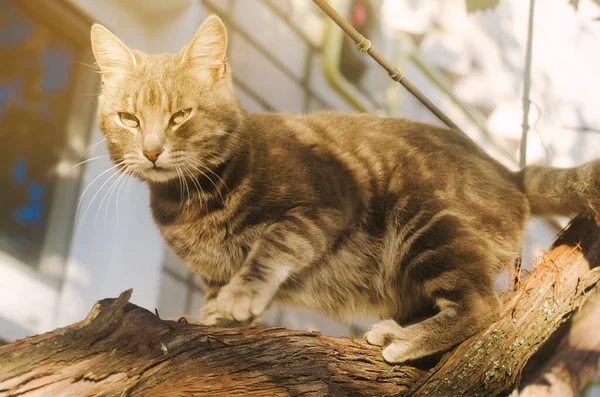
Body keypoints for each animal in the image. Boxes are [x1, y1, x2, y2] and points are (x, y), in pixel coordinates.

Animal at [89, 14, 600, 362]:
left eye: (181, 115)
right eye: (129, 119)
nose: (152, 150)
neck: (189, 201)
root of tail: (510, 172)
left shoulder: (328, 201)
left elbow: (271, 245)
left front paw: (240, 296)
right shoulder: (210, 273)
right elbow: (216, 295)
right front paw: (213, 316)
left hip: (423, 219)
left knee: (480, 305)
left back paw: (403, 339)